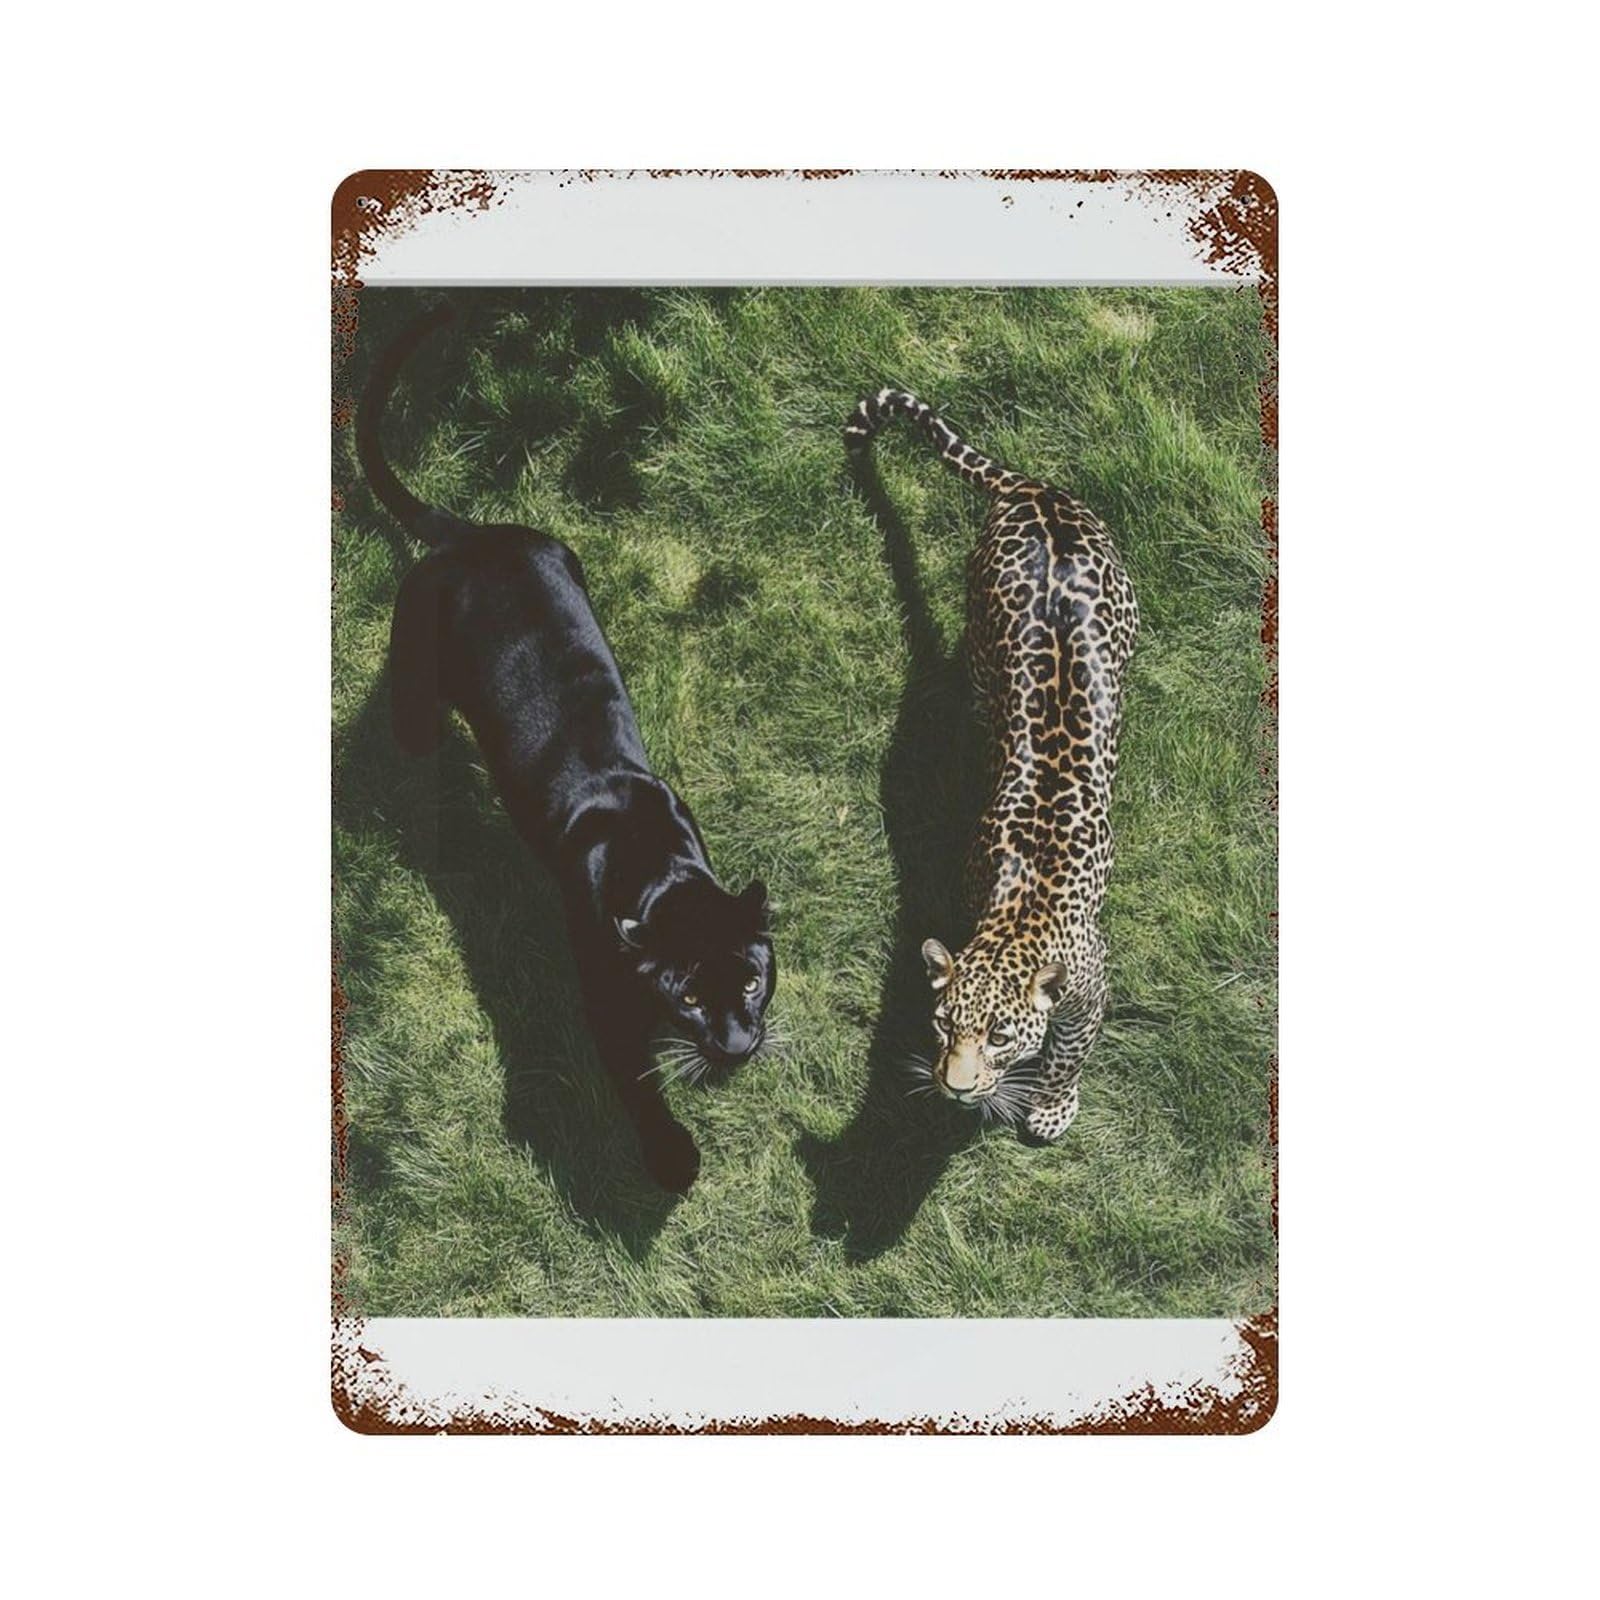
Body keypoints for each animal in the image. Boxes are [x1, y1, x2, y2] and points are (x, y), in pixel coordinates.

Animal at [844, 388, 1138, 1144]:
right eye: (944, 1024)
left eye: (1001, 1036)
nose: (954, 1086)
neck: (1018, 923)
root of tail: (1033, 492)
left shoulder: (1093, 990)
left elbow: (1069, 1048)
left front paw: (1052, 1105)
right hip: (981, 633)